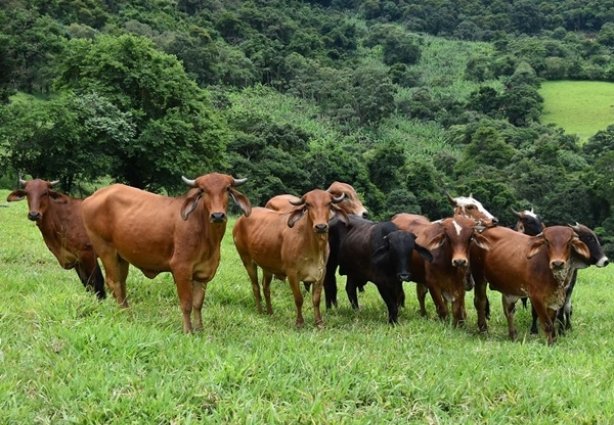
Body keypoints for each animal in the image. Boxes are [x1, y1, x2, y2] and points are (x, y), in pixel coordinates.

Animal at [82, 171, 253, 332]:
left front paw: (200, 330)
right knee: (114, 282)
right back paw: (125, 315)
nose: (217, 215)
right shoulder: (181, 269)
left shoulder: (202, 273)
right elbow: (187, 304)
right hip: (106, 250)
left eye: (227, 189)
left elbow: (198, 304)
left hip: (122, 257)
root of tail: (93, 196)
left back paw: (127, 313)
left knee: (122, 283)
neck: (208, 237)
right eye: (203, 190)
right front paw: (188, 331)